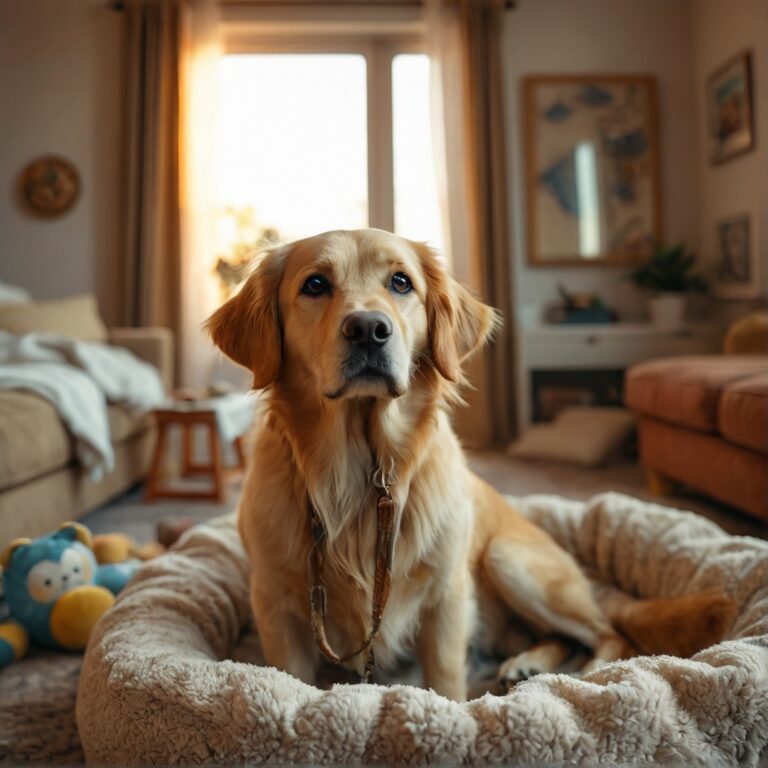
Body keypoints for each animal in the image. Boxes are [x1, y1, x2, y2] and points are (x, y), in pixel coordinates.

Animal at [207, 230, 736, 704]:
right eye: (315, 284)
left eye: (401, 282)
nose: (369, 330)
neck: (362, 467)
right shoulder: (276, 604)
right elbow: (290, 677)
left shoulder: (447, 597)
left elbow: (445, 680)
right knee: (563, 637)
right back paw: (528, 662)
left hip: (508, 558)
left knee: (609, 633)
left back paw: (584, 673)